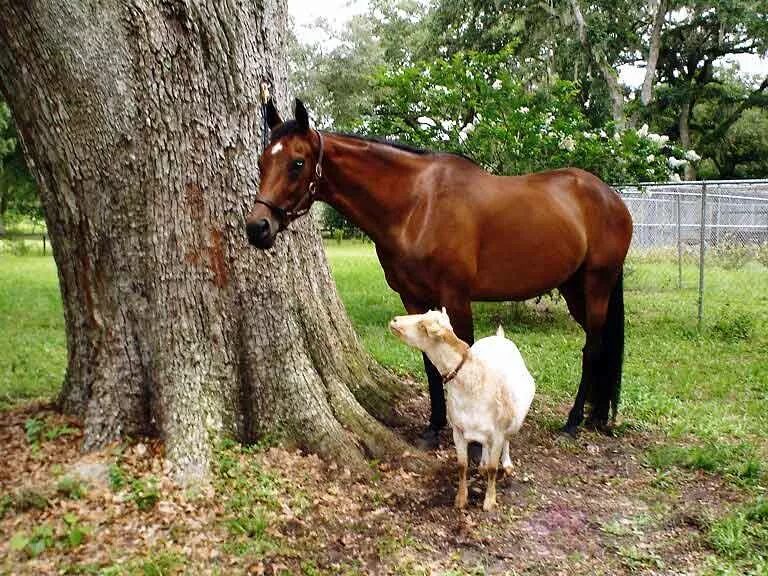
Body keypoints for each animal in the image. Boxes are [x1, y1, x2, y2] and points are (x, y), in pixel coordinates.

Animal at [244, 99, 632, 446]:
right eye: (262, 162)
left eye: (297, 163)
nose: (257, 228)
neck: (418, 205)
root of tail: (611, 197)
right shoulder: (414, 298)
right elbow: (431, 364)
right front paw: (433, 428)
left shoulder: (455, 297)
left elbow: (463, 358)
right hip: (574, 289)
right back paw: (595, 416)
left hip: (597, 284)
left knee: (592, 348)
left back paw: (573, 422)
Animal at [390, 308, 536, 510]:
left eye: (423, 325)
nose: (394, 320)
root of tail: (499, 337)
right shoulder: (458, 430)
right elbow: (462, 465)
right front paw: (460, 499)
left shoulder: (498, 431)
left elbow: (493, 468)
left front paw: (489, 501)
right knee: (485, 445)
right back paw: (482, 463)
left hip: (513, 418)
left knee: (508, 438)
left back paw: (506, 464)